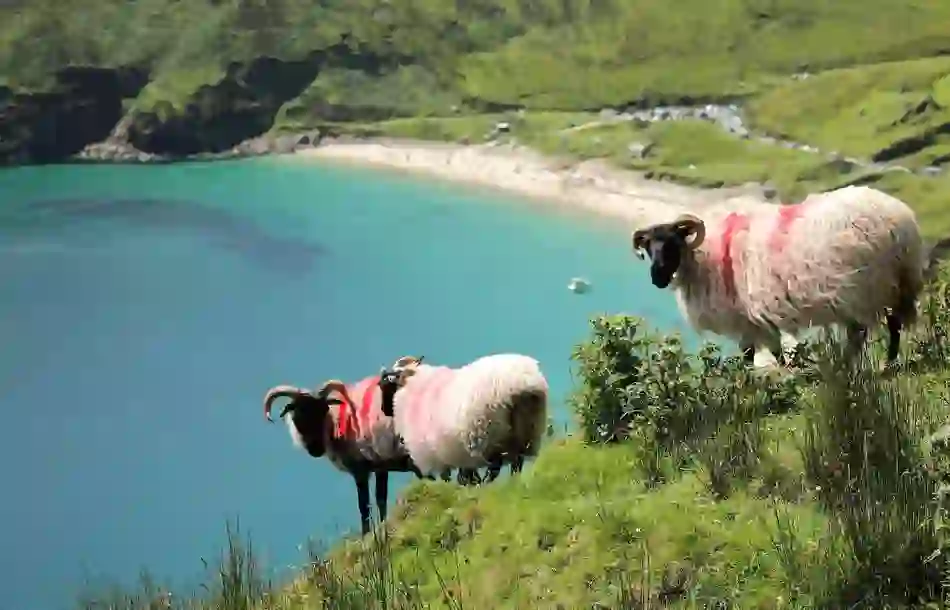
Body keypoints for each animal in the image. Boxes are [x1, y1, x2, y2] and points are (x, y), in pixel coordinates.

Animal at [264, 377, 430, 536]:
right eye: (299, 412)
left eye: (324, 410)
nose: (316, 449)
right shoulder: (381, 466)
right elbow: (381, 499)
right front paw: (382, 527)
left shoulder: (360, 469)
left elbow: (364, 506)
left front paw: (367, 535)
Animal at [378, 353, 549, 483]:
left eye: (385, 385)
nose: (384, 410)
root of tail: (522, 381)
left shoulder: (436, 454)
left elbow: (453, 478)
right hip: (527, 429)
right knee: (516, 462)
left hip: (487, 433)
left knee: (495, 467)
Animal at [630, 185, 925, 368]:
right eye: (648, 247)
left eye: (672, 244)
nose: (657, 278)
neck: (706, 256)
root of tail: (900, 220)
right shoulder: (756, 318)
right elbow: (772, 351)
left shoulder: (748, 318)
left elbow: (755, 354)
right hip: (893, 282)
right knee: (890, 324)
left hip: (866, 285)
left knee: (869, 330)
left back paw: (868, 364)